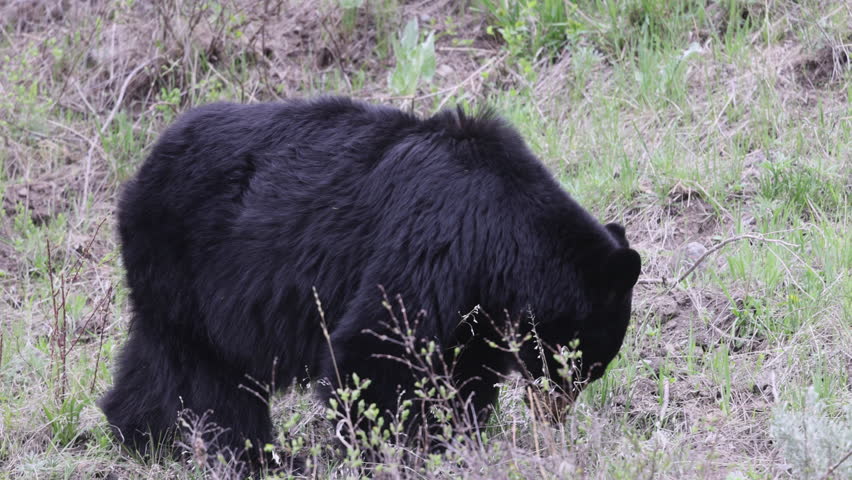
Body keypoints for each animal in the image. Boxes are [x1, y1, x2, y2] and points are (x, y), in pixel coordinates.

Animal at [100, 97, 641, 470]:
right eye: (580, 365)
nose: (555, 415)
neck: (504, 238)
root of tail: (139, 173)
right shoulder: (435, 241)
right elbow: (373, 352)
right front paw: (399, 451)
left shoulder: (474, 302)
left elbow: (461, 371)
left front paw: (455, 442)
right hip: (190, 267)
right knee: (205, 374)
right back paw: (253, 456)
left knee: (158, 357)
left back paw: (140, 435)